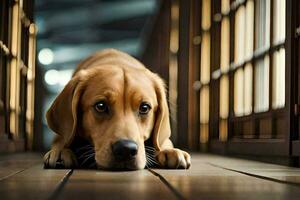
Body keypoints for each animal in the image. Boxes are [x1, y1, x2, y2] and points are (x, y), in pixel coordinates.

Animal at [43, 48, 191, 170]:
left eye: (144, 107)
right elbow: (62, 139)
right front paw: (61, 150)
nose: (126, 149)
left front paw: (169, 151)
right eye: (101, 106)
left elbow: (163, 141)